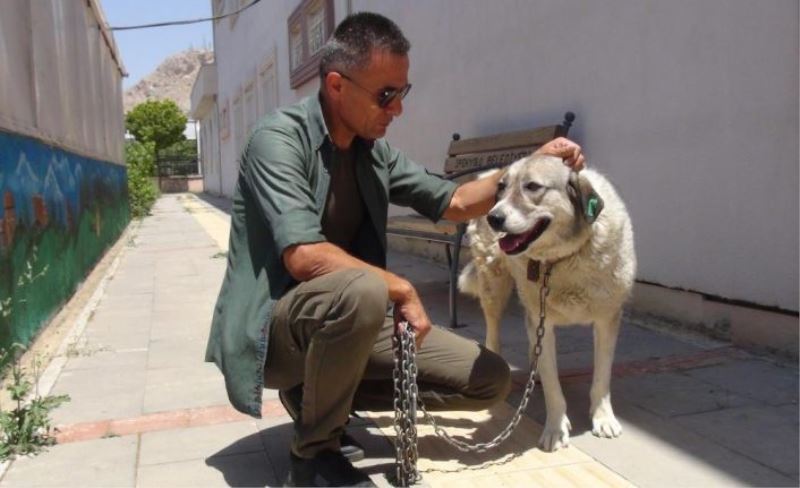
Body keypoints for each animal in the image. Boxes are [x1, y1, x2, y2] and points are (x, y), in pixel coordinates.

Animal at [456, 154, 636, 452]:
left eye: (532, 187)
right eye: (502, 188)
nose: (494, 217)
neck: (564, 258)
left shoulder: (607, 320)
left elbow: (601, 377)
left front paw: (603, 418)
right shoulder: (543, 321)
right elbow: (554, 388)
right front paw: (555, 429)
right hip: (495, 287)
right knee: (494, 332)